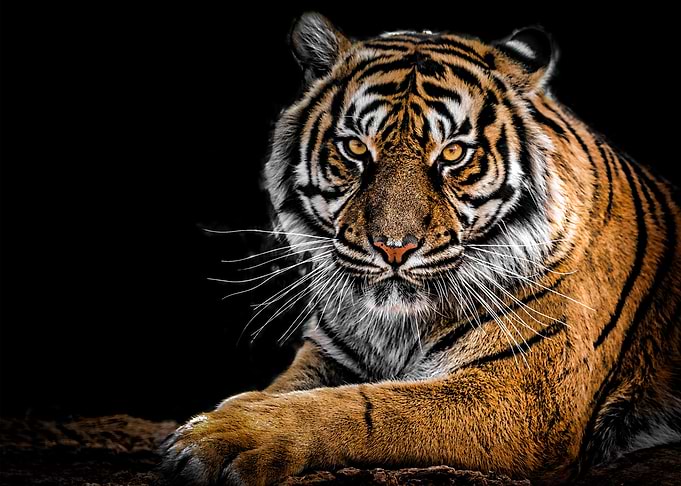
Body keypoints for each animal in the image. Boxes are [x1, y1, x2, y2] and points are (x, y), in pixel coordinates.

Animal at [161, 12, 681, 485]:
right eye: (355, 148)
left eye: (453, 153)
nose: (394, 248)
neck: (395, 326)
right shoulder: (329, 354)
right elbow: (285, 388)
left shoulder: (523, 396)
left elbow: (370, 408)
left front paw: (221, 437)